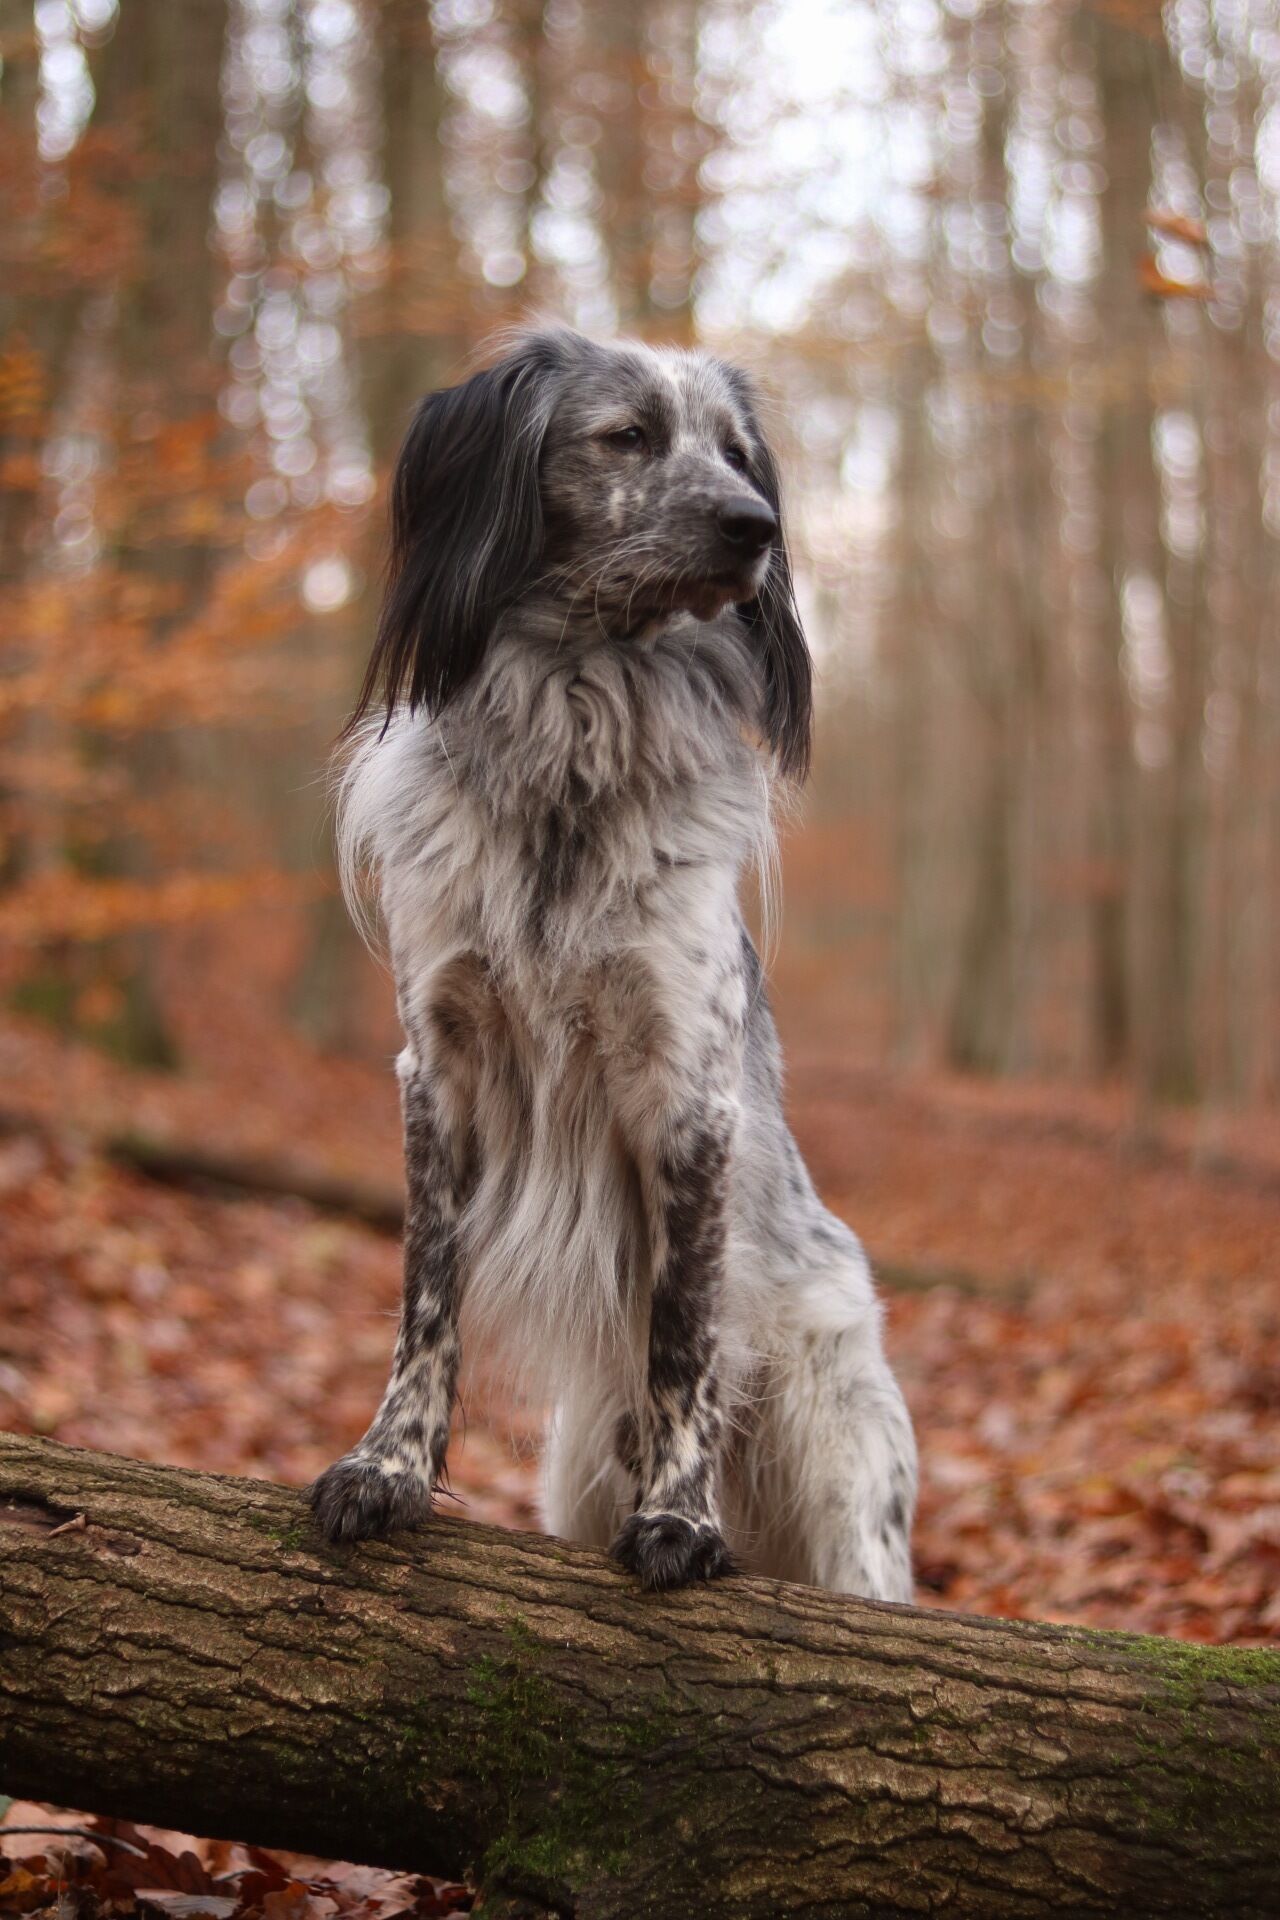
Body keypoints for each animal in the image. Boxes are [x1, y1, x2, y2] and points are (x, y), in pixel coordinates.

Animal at [305, 326, 917, 1589]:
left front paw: (680, 1517)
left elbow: (681, 1335)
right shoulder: (439, 1071)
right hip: (576, 1472)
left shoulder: (685, 1094)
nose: (756, 526)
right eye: (627, 436)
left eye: (736, 454)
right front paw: (387, 1467)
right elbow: (425, 1299)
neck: (575, 729)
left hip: (848, 1487)